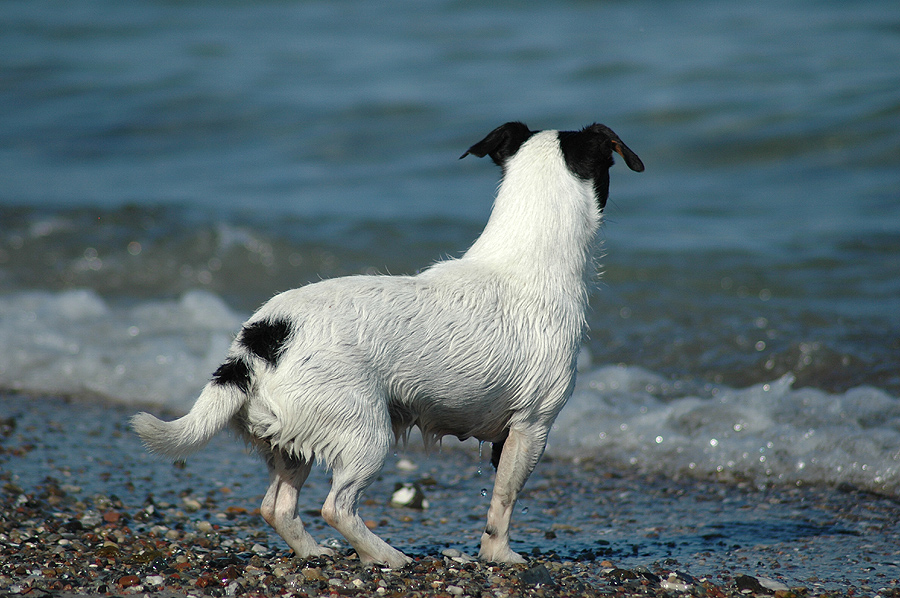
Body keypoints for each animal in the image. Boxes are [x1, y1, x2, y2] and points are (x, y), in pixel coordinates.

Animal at [132, 120, 640, 568]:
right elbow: (503, 501)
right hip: (365, 435)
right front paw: (500, 555)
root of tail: (258, 343)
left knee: (277, 507)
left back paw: (315, 552)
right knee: (337, 506)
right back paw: (387, 556)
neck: (525, 258)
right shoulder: (531, 427)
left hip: (294, 442)